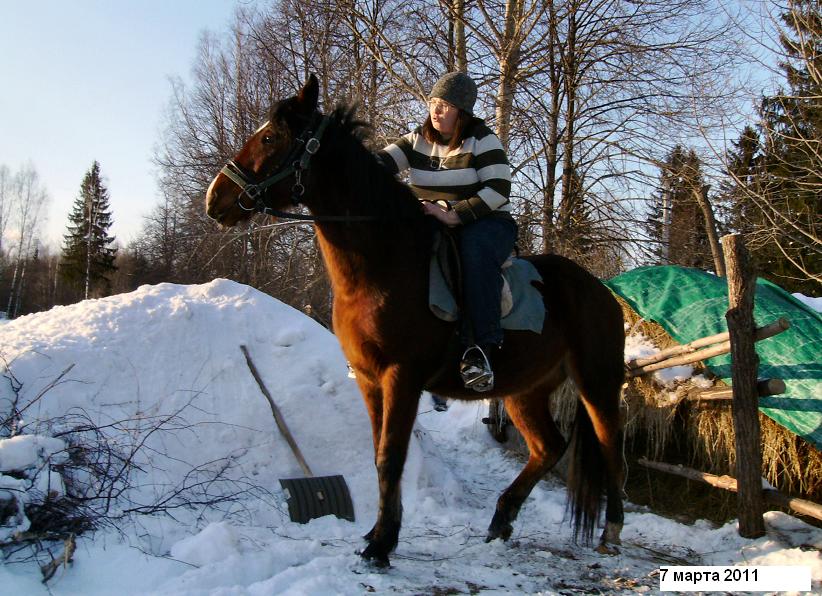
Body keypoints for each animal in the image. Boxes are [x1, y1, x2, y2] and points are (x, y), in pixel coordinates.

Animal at [206, 77, 624, 564]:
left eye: (271, 137)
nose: (215, 199)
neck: (385, 261)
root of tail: (602, 291)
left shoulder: (401, 376)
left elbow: (392, 456)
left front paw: (381, 543)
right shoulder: (369, 379)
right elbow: (379, 455)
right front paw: (379, 533)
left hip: (597, 382)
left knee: (610, 446)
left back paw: (611, 530)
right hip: (524, 390)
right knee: (548, 447)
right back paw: (501, 520)